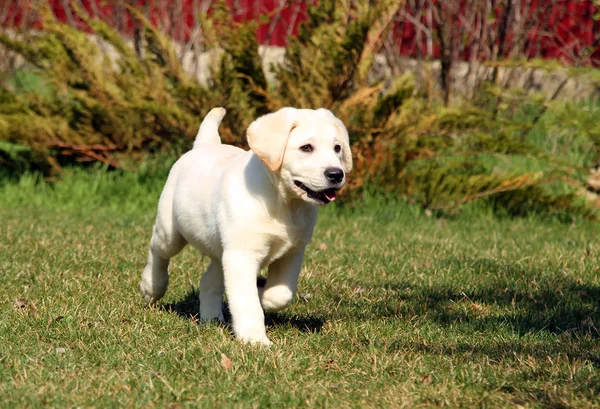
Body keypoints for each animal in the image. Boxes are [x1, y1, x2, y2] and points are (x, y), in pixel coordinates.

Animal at [140, 106, 352, 344]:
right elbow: (247, 302)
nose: (336, 174)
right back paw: (151, 286)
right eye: (306, 147)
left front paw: (263, 294)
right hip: (171, 232)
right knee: (157, 250)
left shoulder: (292, 252)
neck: (283, 204)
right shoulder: (242, 255)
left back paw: (212, 318)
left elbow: (281, 295)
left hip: (222, 251)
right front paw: (255, 340)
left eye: (337, 148)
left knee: (208, 281)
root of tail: (205, 145)